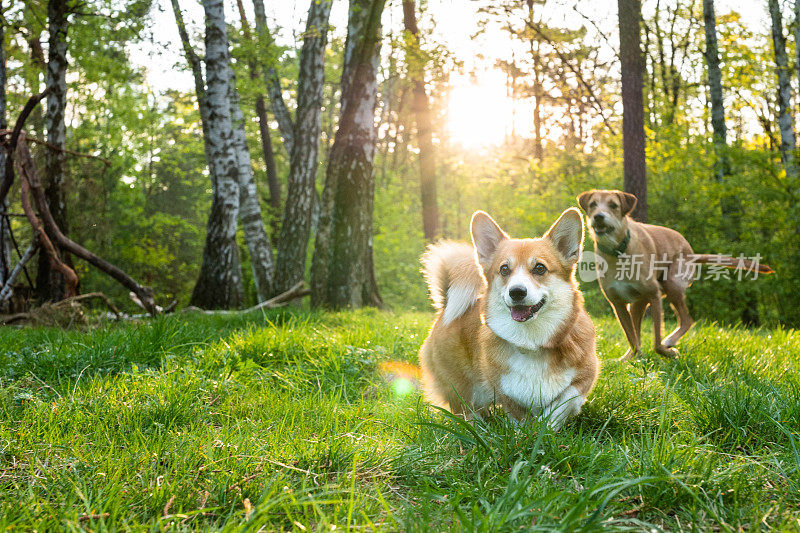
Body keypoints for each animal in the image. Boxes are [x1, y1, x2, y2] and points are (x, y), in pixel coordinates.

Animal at [422, 208, 596, 428]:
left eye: (540, 268)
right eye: (504, 269)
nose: (517, 292)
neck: (532, 342)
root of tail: (445, 307)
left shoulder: (584, 378)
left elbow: (562, 404)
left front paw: (544, 426)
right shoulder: (506, 394)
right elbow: (519, 419)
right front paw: (529, 432)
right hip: (461, 388)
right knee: (466, 412)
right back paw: (480, 428)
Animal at [580, 189, 772, 360]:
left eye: (613, 205)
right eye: (592, 205)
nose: (598, 216)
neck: (618, 251)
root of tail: (691, 252)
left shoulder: (654, 295)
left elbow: (656, 342)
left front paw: (668, 352)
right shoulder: (618, 304)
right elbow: (632, 339)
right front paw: (635, 359)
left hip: (672, 284)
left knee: (687, 320)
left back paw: (670, 341)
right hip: (638, 303)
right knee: (637, 334)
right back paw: (630, 358)